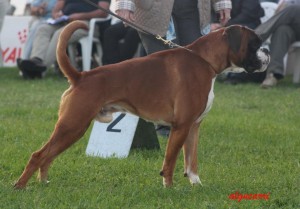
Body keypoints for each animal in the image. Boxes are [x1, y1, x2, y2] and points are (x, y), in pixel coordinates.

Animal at [14, 20, 270, 189]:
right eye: (255, 43)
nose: (267, 51)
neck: (205, 61)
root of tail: (81, 76)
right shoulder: (180, 127)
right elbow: (171, 160)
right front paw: (169, 188)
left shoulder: (193, 127)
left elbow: (191, 160)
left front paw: (196, 184)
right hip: (73, 125)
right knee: (38, 155)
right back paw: (20, 186)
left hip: (71, 129)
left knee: (48, 155)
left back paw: (43, 182)